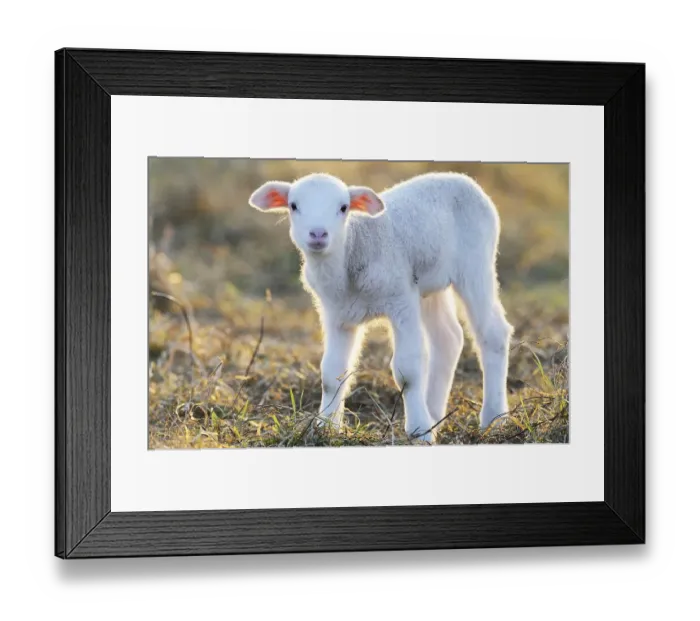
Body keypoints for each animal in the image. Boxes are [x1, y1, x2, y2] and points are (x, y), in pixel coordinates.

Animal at [248, 171, 514, 443]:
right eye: (293, 205)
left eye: (343, 208)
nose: (318, 234)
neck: (353, 250)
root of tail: (461, 177)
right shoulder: (336, 315)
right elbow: (332, 373)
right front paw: (325, 427)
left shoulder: (401, 300)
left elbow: (408, 370)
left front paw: (419, 432)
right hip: (429, 285)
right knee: (448, 338)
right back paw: (434, 416)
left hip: (475, 265)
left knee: (493, 333)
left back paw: (493, 418)